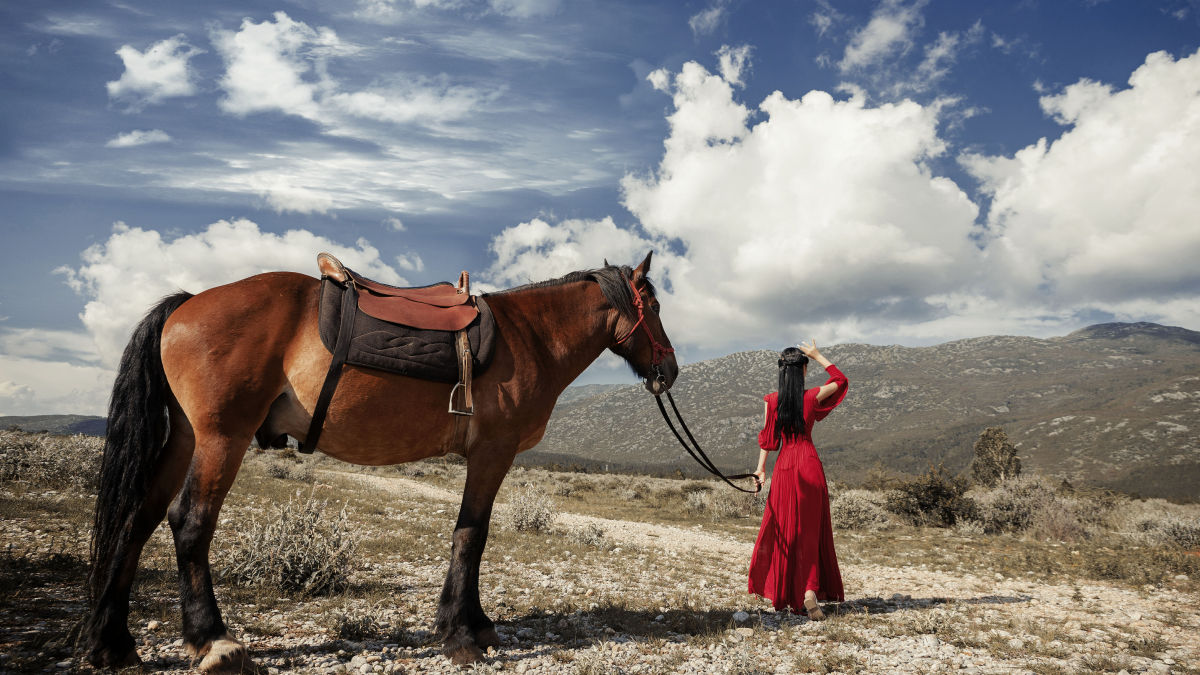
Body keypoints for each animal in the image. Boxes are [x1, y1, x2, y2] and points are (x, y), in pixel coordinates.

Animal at [84, 251, 681, 667]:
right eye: (653, 308)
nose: (670, 371)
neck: (529, 336)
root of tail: (185, 304)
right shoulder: (492, 452)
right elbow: (472, 535)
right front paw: (460, 635)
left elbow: (472, 535)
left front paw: (475, 624)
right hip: (220, 437)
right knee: (190, 522)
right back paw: (213, 643)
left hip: (186, 438)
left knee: (136, 520)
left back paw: (113, 644)